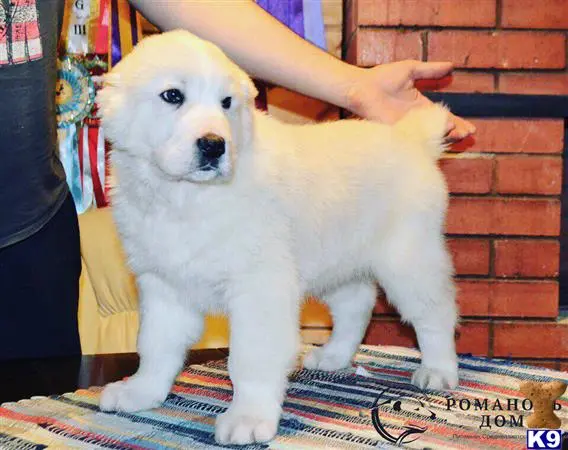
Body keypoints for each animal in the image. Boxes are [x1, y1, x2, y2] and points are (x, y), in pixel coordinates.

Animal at [97, 29, 460, 444]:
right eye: (172, 96)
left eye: (226, 103)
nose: (214, 145)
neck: (187, 197)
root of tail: (412, 139)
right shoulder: (163, 284)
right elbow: (156, 345)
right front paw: (141, 391)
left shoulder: (260, 286)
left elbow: (251, 357)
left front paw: (249, 417)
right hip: (336, 258)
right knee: (357, 304)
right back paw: (334, 356)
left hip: (408, 257)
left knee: (435, 311)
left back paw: (438, 370)